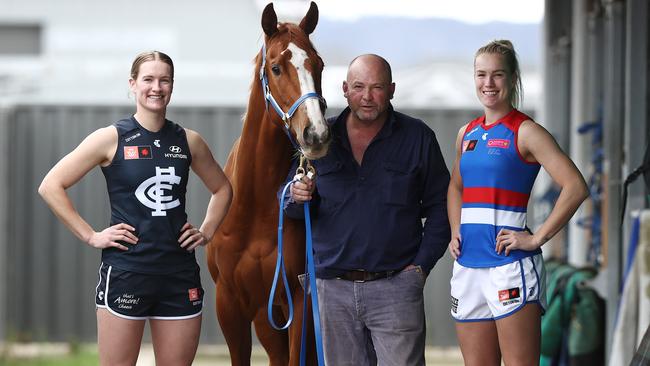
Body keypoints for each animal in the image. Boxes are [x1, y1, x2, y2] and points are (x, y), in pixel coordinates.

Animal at [208, 2, 330, 364]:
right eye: (275, 67)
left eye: (319, 65)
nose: (316, 134)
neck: (255, 208)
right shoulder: (230, 306)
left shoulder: (300, 301)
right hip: (266, 320)